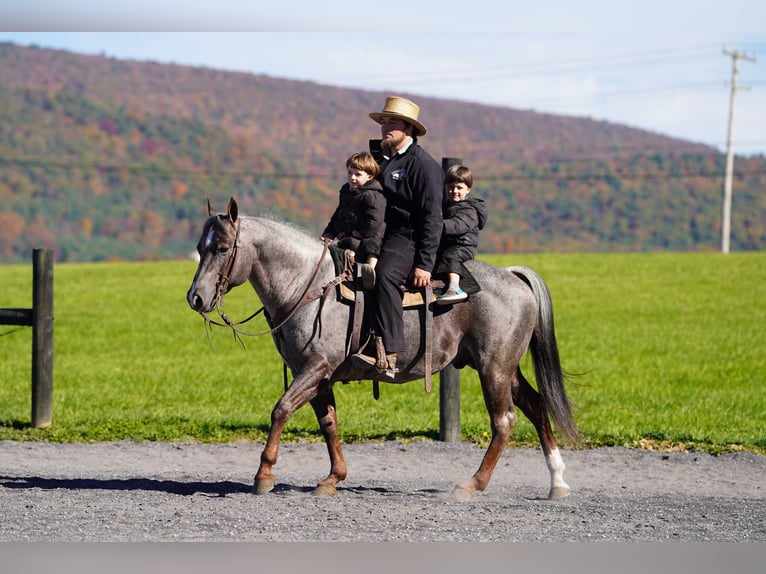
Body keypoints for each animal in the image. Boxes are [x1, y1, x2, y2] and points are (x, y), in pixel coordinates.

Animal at [186, 197, 580, 500]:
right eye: (200, 248)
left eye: (222, 248)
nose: (196, 298)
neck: (308, 285)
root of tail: (513, 276)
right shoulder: (316, 375)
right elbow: (328, 423)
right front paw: (333, 479)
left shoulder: (315, 368)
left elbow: (281, 410)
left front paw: (264, 475)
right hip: (505, 368)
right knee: (535, 406)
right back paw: (557, 482)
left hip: (493, 369)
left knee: (504, 420)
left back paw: (471, 484)